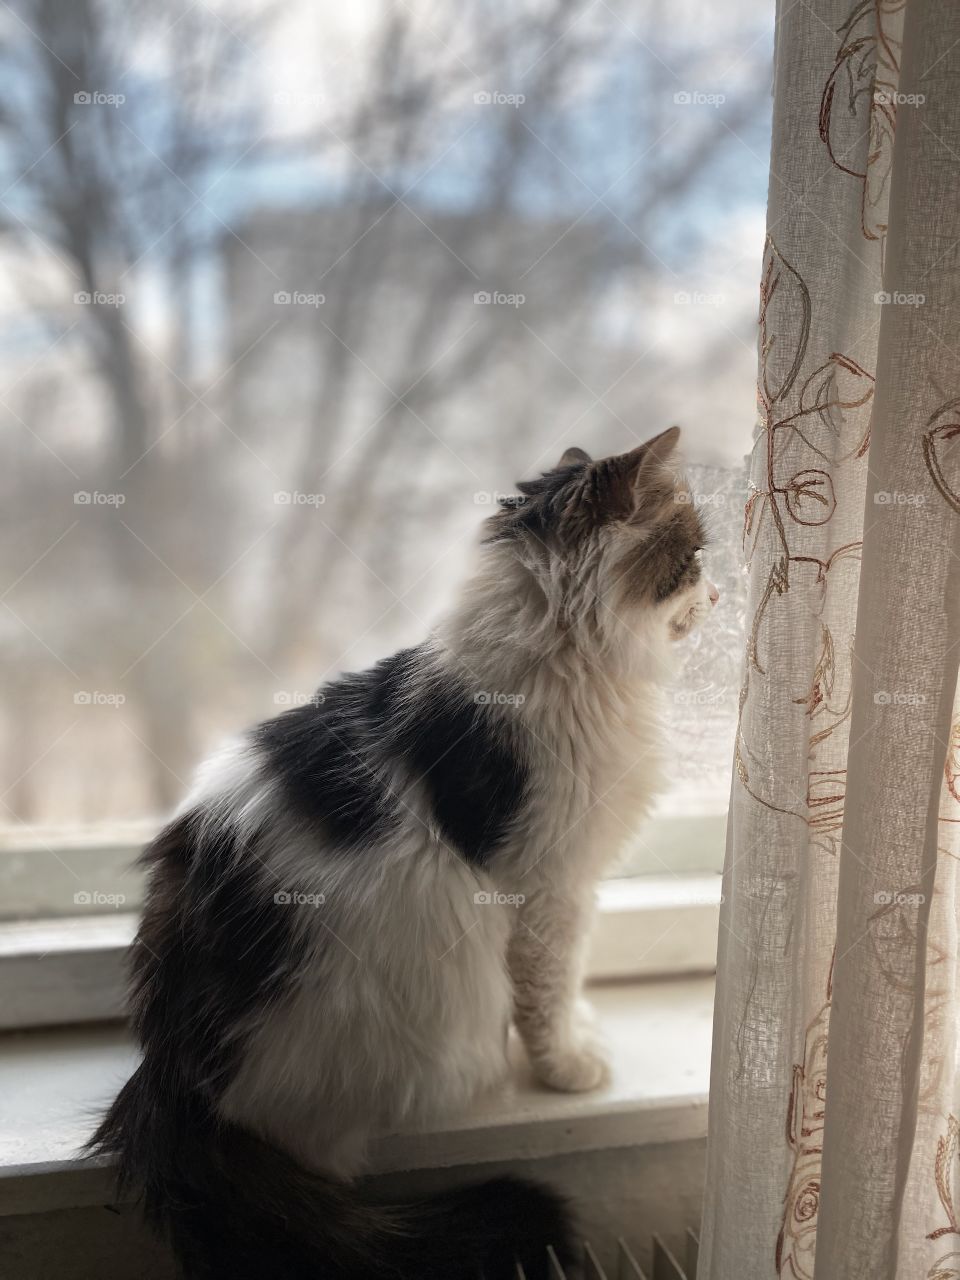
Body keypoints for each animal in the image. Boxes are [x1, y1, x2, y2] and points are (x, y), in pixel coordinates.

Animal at [90, 430, 716, 1280]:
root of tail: (172, 1081)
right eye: (696, 554)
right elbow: (548, 990)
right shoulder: (548, 884)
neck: (557, 651)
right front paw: (565, 1070)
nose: (718, 596)